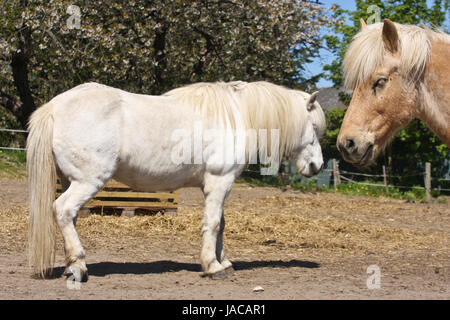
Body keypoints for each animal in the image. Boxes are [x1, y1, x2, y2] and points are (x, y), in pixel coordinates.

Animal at [26, 81, 326, 282]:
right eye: (313, 127)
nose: (317, 166)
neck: (238, 116)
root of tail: (55, 107)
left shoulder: (219, 186)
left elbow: (221, 224)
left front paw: (224, 262)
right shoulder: (219, 182)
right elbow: (213, 223)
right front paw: (212, 266)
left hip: (70, 181)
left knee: (70, 217)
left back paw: (71, 265)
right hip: (87, 181)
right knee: (63, 210)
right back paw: (79, 267)